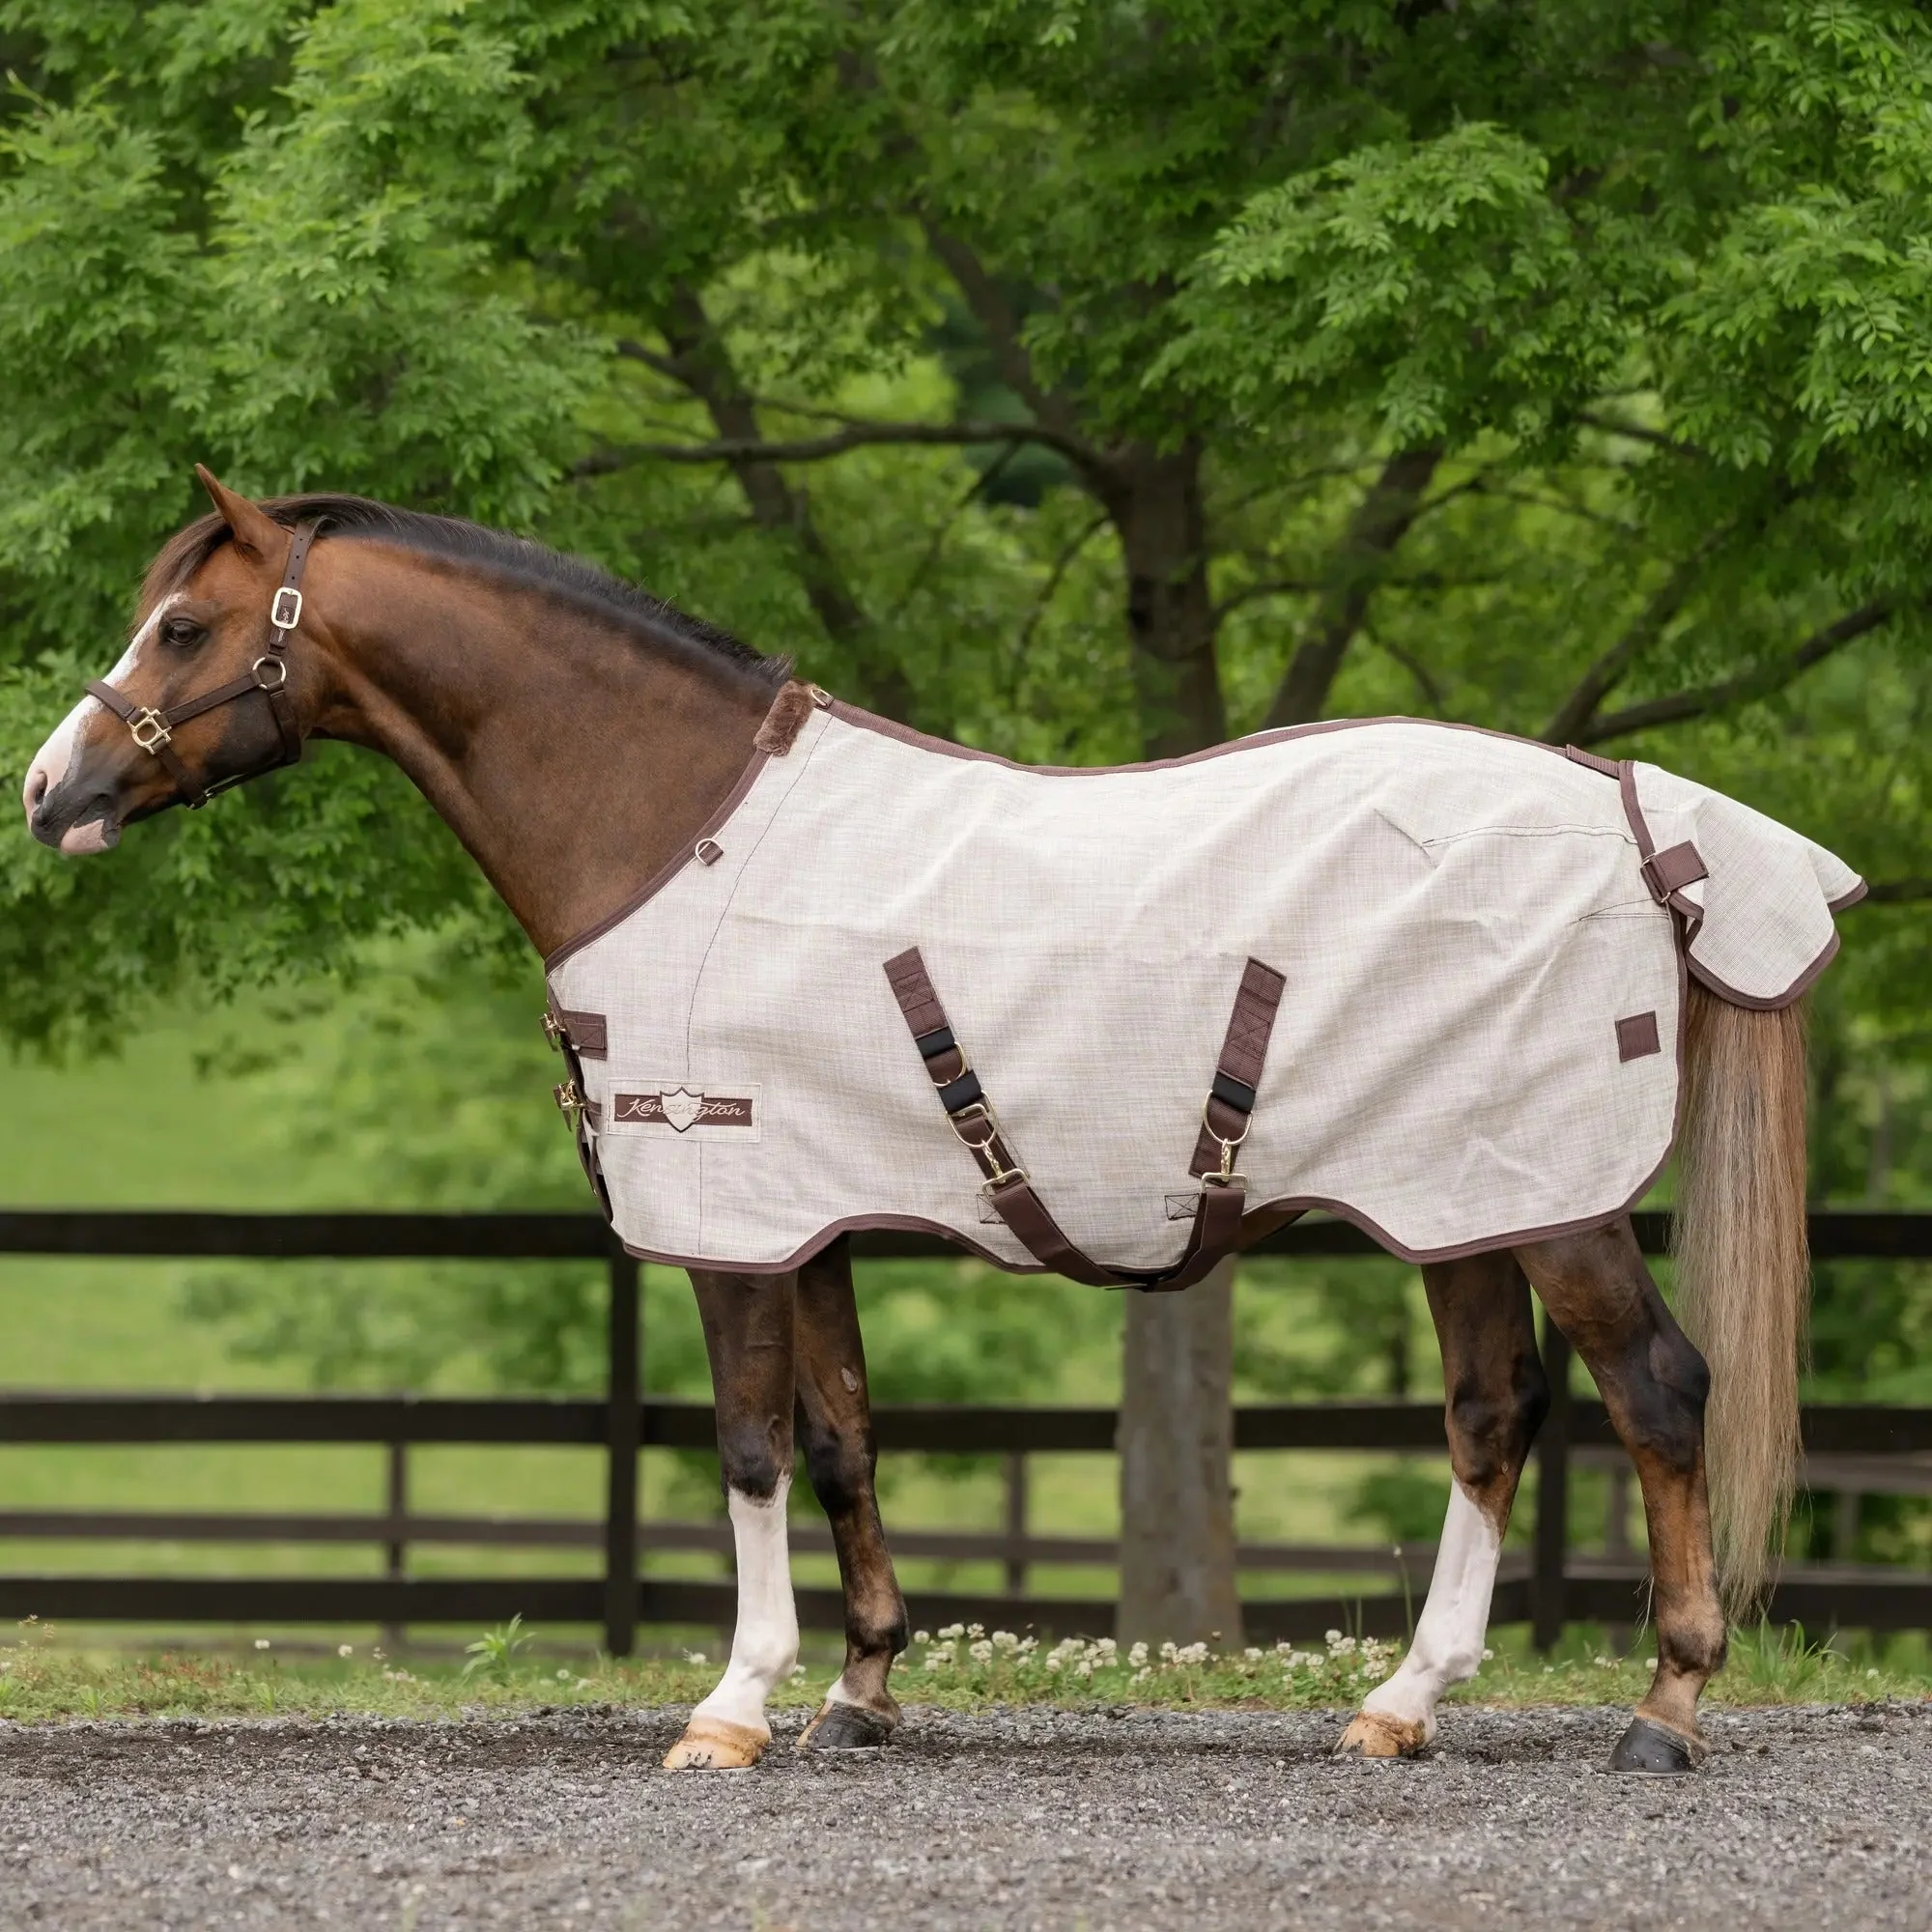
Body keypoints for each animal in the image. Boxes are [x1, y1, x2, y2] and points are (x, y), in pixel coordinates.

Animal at [23, 469, 1854, 1777]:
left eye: (182, 626)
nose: (50, 793)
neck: (669, 821)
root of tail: (1630, 808)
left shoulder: (731, 1219)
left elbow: (749, 1446)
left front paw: (734, 1708)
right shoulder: (813, 1219)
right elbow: (842, 1440)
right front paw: (863, 1696)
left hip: (1554, 1201)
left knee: (1658, 1394)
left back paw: (1667, 1713)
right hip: (1462, 1197)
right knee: (1493, 1414)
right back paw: (1403, 1704)